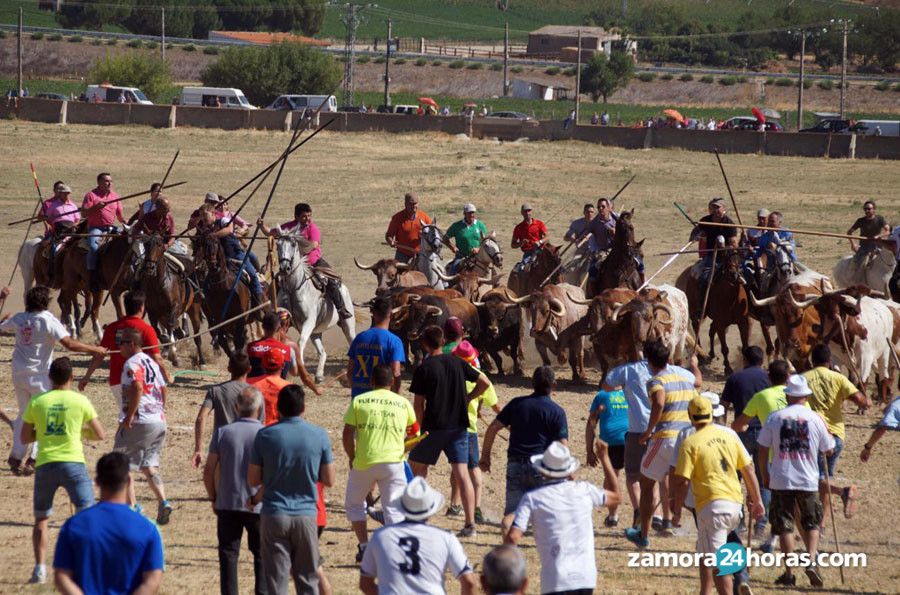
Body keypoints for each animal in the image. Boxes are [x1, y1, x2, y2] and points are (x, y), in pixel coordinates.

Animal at [141, 235, 206, 370]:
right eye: (146, 244)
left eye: (159, 245)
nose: (149, 267)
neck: (159, 283)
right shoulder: (153, 312)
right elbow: (156, 330)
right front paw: (167, 344)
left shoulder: (174, 307)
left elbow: (171, 325)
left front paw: (174, 356)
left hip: (194, 309)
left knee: (197, 336)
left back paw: (202, 361)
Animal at [276, 235, 356, 384]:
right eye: (277, 245)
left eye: (293, 244)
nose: (285, 268)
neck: (294, 289)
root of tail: (344, 288)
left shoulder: (309, 321)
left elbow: (300, 341)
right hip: (315, 333)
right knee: (322, 352)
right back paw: (319, 375)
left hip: (347, 325)